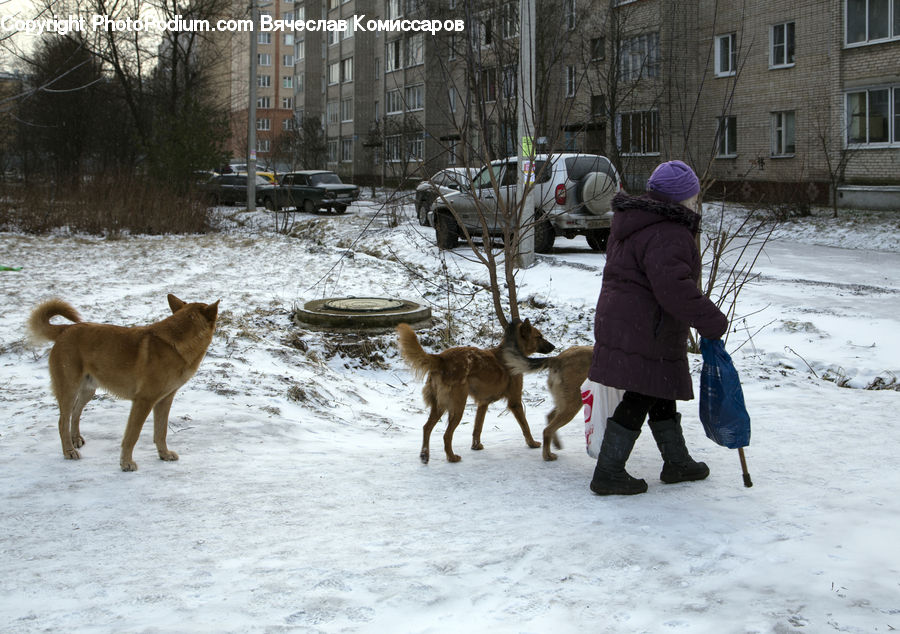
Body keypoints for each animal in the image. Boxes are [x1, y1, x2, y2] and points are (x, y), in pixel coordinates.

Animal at [28, 292, 220, 470]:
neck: (175, 343)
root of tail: (66, 329)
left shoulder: (164, 400)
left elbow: (161, 432)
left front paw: (164, 454)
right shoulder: (143, 401)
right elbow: (132, 436)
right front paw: (126, 463)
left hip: (88, 390)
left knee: (75, 413)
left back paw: (75, 439)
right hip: (69, 389)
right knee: (63, 421)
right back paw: (69, 451)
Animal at [400, 318, 556, 462]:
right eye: (539, 336)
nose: (554, 346)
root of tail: (441, 358)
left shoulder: (483, 403)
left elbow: (477, 427)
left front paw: (476, 446)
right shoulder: (515, 402)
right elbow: (525, 426)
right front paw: (532, 443)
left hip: (439, 406)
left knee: (426, 427)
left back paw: (425, 455)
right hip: (457, 407)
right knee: (446, 435)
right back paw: (452, 457)